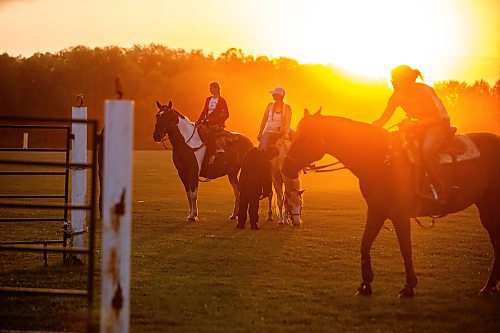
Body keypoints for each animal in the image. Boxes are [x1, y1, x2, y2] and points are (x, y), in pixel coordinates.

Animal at [282, 108, 500, 296]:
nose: (285, 168)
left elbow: (406, 249)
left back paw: (488, 286)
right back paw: (489, 287)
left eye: (305, 137)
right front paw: (365, 284)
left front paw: (409, 286)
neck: (381, 158)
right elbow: (365, 243)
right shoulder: (376, 211)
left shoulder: (400, 215)